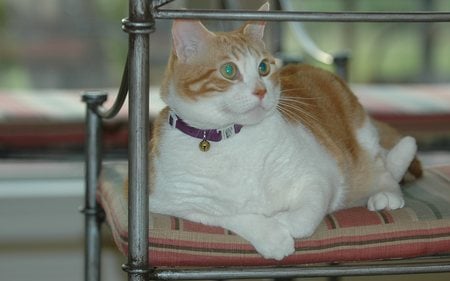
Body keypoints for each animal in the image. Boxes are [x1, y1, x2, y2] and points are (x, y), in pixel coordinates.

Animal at [148, 3, 422, 260]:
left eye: (263, 67)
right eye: (229, 71)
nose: (261, 91)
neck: (230, 139)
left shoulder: (319, 177)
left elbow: (305, 216)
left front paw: (282, 222)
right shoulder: (174, 204)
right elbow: (234, 216)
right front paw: (271, 235)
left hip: (364, 138)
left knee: (384, 170)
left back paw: (385, 193)